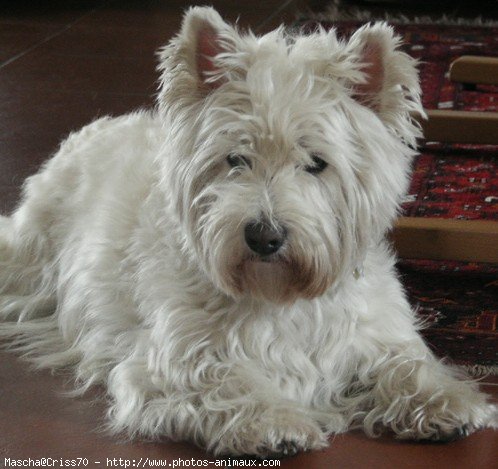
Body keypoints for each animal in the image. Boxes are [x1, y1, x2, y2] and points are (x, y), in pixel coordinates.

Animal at [0, 5, 496, 456]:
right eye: (235, 159)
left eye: (316, 162)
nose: (264, 237)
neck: (280, 296)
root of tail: (92, 127)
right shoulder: (170, 359)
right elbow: (220, 380)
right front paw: (274, 423)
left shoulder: (373, 332)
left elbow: (405, 363)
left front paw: (448, 403)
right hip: (32, 255)